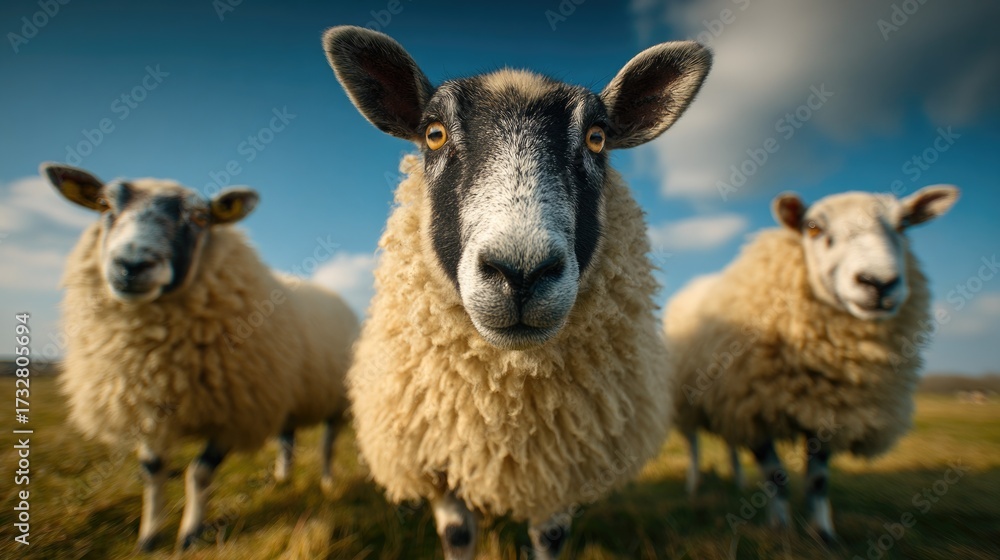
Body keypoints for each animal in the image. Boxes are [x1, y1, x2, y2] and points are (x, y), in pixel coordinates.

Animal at [42, 163, 359, 551]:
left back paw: (328, 481)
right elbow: (152, 472)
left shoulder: (236, 412)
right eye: (104, 205)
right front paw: (149, 536)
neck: (160, 363)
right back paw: (283, 478)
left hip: (334, 399)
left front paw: (190, 535)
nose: (132, 264)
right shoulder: (145, 408)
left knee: (328, 444)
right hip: (286, 393)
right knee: (287, 438)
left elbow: (199, 472)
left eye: (200, 217)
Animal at [322, 26, 712, 559]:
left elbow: (549, 537)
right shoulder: (436, 461)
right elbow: (458, 534)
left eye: (597, 138)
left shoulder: (560, 466)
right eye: (433, 133)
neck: (505, 404)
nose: (521, 273)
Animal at [665, 186, 959, 542]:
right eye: (814, 227)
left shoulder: (828, 415)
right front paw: (780, 529)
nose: (878, 283)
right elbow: (776, 476)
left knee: (731, 444)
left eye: (904, 225)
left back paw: (738, 481)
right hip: (693, 403)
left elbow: (818, 482)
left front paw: (823, 534)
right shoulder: (753, 408)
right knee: (694, 445)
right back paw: (694, 485)